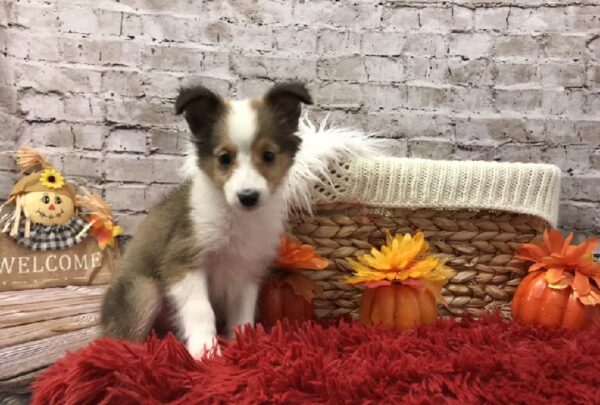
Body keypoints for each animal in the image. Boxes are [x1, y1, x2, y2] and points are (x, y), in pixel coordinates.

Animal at [100, 82, 312, 356]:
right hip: (144, 291)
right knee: (118, 338)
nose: (248, 197)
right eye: (224, 158)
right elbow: (201, 310)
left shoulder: (246, 272)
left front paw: (243, 346)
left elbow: (242, 315)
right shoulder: (182, 262)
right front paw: (205, 351)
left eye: (268, 156)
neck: (236, 217)